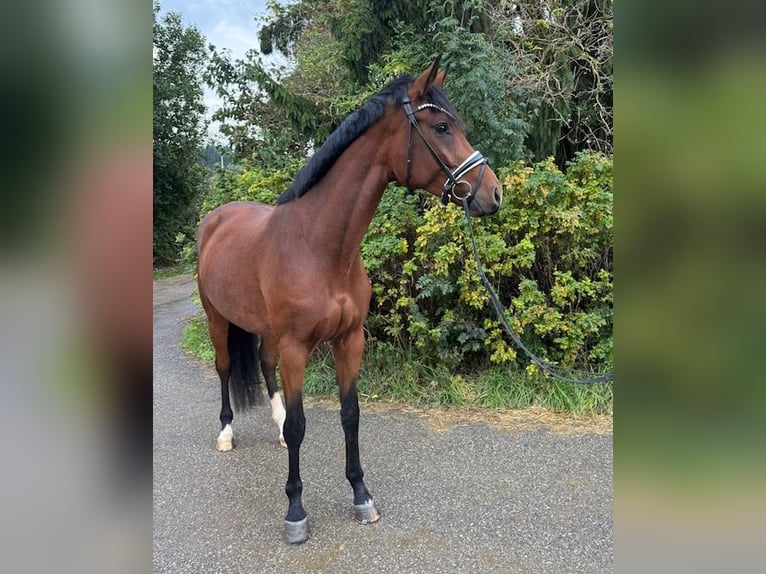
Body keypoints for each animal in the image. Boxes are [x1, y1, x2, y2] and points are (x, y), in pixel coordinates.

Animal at [196, 56, 503, 544]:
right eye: (440, 127)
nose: (493, 193)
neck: (319, 247)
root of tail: (215, 219)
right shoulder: (297, 348)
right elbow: (302, 426)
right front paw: (295, 511)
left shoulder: (349, 340)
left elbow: (351, 415)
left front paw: (361, 495)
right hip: (217, 319)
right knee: (225, 369)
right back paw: (226, 432)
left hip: (265, 330)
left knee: (264, 364)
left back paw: (274, 425)